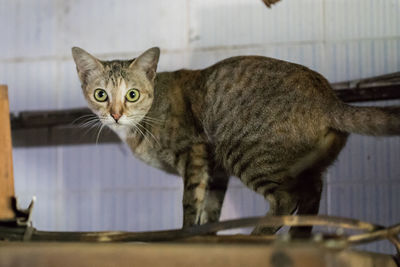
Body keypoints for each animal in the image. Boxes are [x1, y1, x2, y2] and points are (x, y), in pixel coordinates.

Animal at [72, 47, 400, 236]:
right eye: (101, 94)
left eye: (132, 94)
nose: (115, 114)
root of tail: (330, 100)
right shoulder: (216, 170)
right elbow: (212, 210)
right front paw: (207, 238)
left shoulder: (196, 151)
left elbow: (191, 202)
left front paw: (185, 236)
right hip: (305, 168)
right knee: (311, 197)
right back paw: (299, 239)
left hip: (244, 152)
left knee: (285, 199)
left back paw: (258, 238)